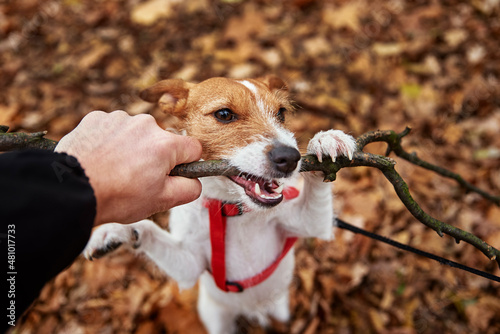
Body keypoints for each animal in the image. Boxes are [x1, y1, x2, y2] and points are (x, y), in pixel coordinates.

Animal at [83, 77, 356, 332]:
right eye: (224, 114)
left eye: (281, 113)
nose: (290, 158)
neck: (233, 211)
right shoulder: (190, 264)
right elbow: (148, 230)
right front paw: (115, 230)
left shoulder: (309, 223)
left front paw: (326, 140)